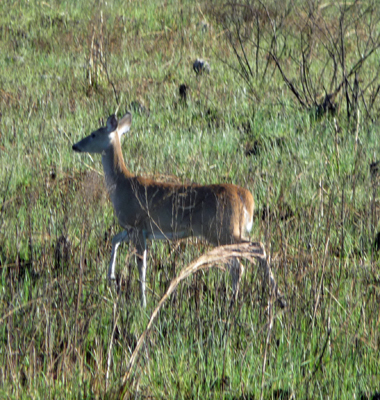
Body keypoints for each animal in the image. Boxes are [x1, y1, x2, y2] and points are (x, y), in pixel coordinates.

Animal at [72, 114, 284, 308]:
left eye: (93, 134)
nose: (75, 146)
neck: (122, 185)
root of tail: (246, 198)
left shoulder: (137, 225)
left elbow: (142, 266)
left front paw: (143, 303)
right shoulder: (136, 229)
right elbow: (115, 239)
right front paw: (111, 277)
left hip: (221, 229)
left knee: (250, 253)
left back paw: (257, 300)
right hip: (228, 230)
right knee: (243, 259)